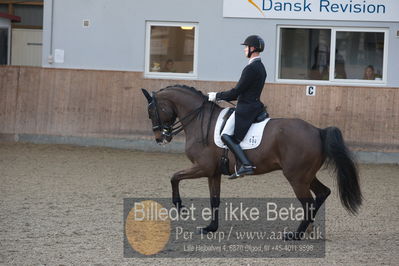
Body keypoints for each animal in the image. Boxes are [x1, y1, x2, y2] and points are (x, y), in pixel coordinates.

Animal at [141, 84, 362, 239]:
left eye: (152, 112)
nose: (160, 138)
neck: (200, 121)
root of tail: (318, 131)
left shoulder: (202, 167)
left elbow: (174, 177)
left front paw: (180, 206)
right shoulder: (213, 172)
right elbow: (214, 199)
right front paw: (210, 228)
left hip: (296, 177)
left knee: (308, 202)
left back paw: (296, 235)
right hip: (306, 175)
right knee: (323, 193)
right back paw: (309, 230)